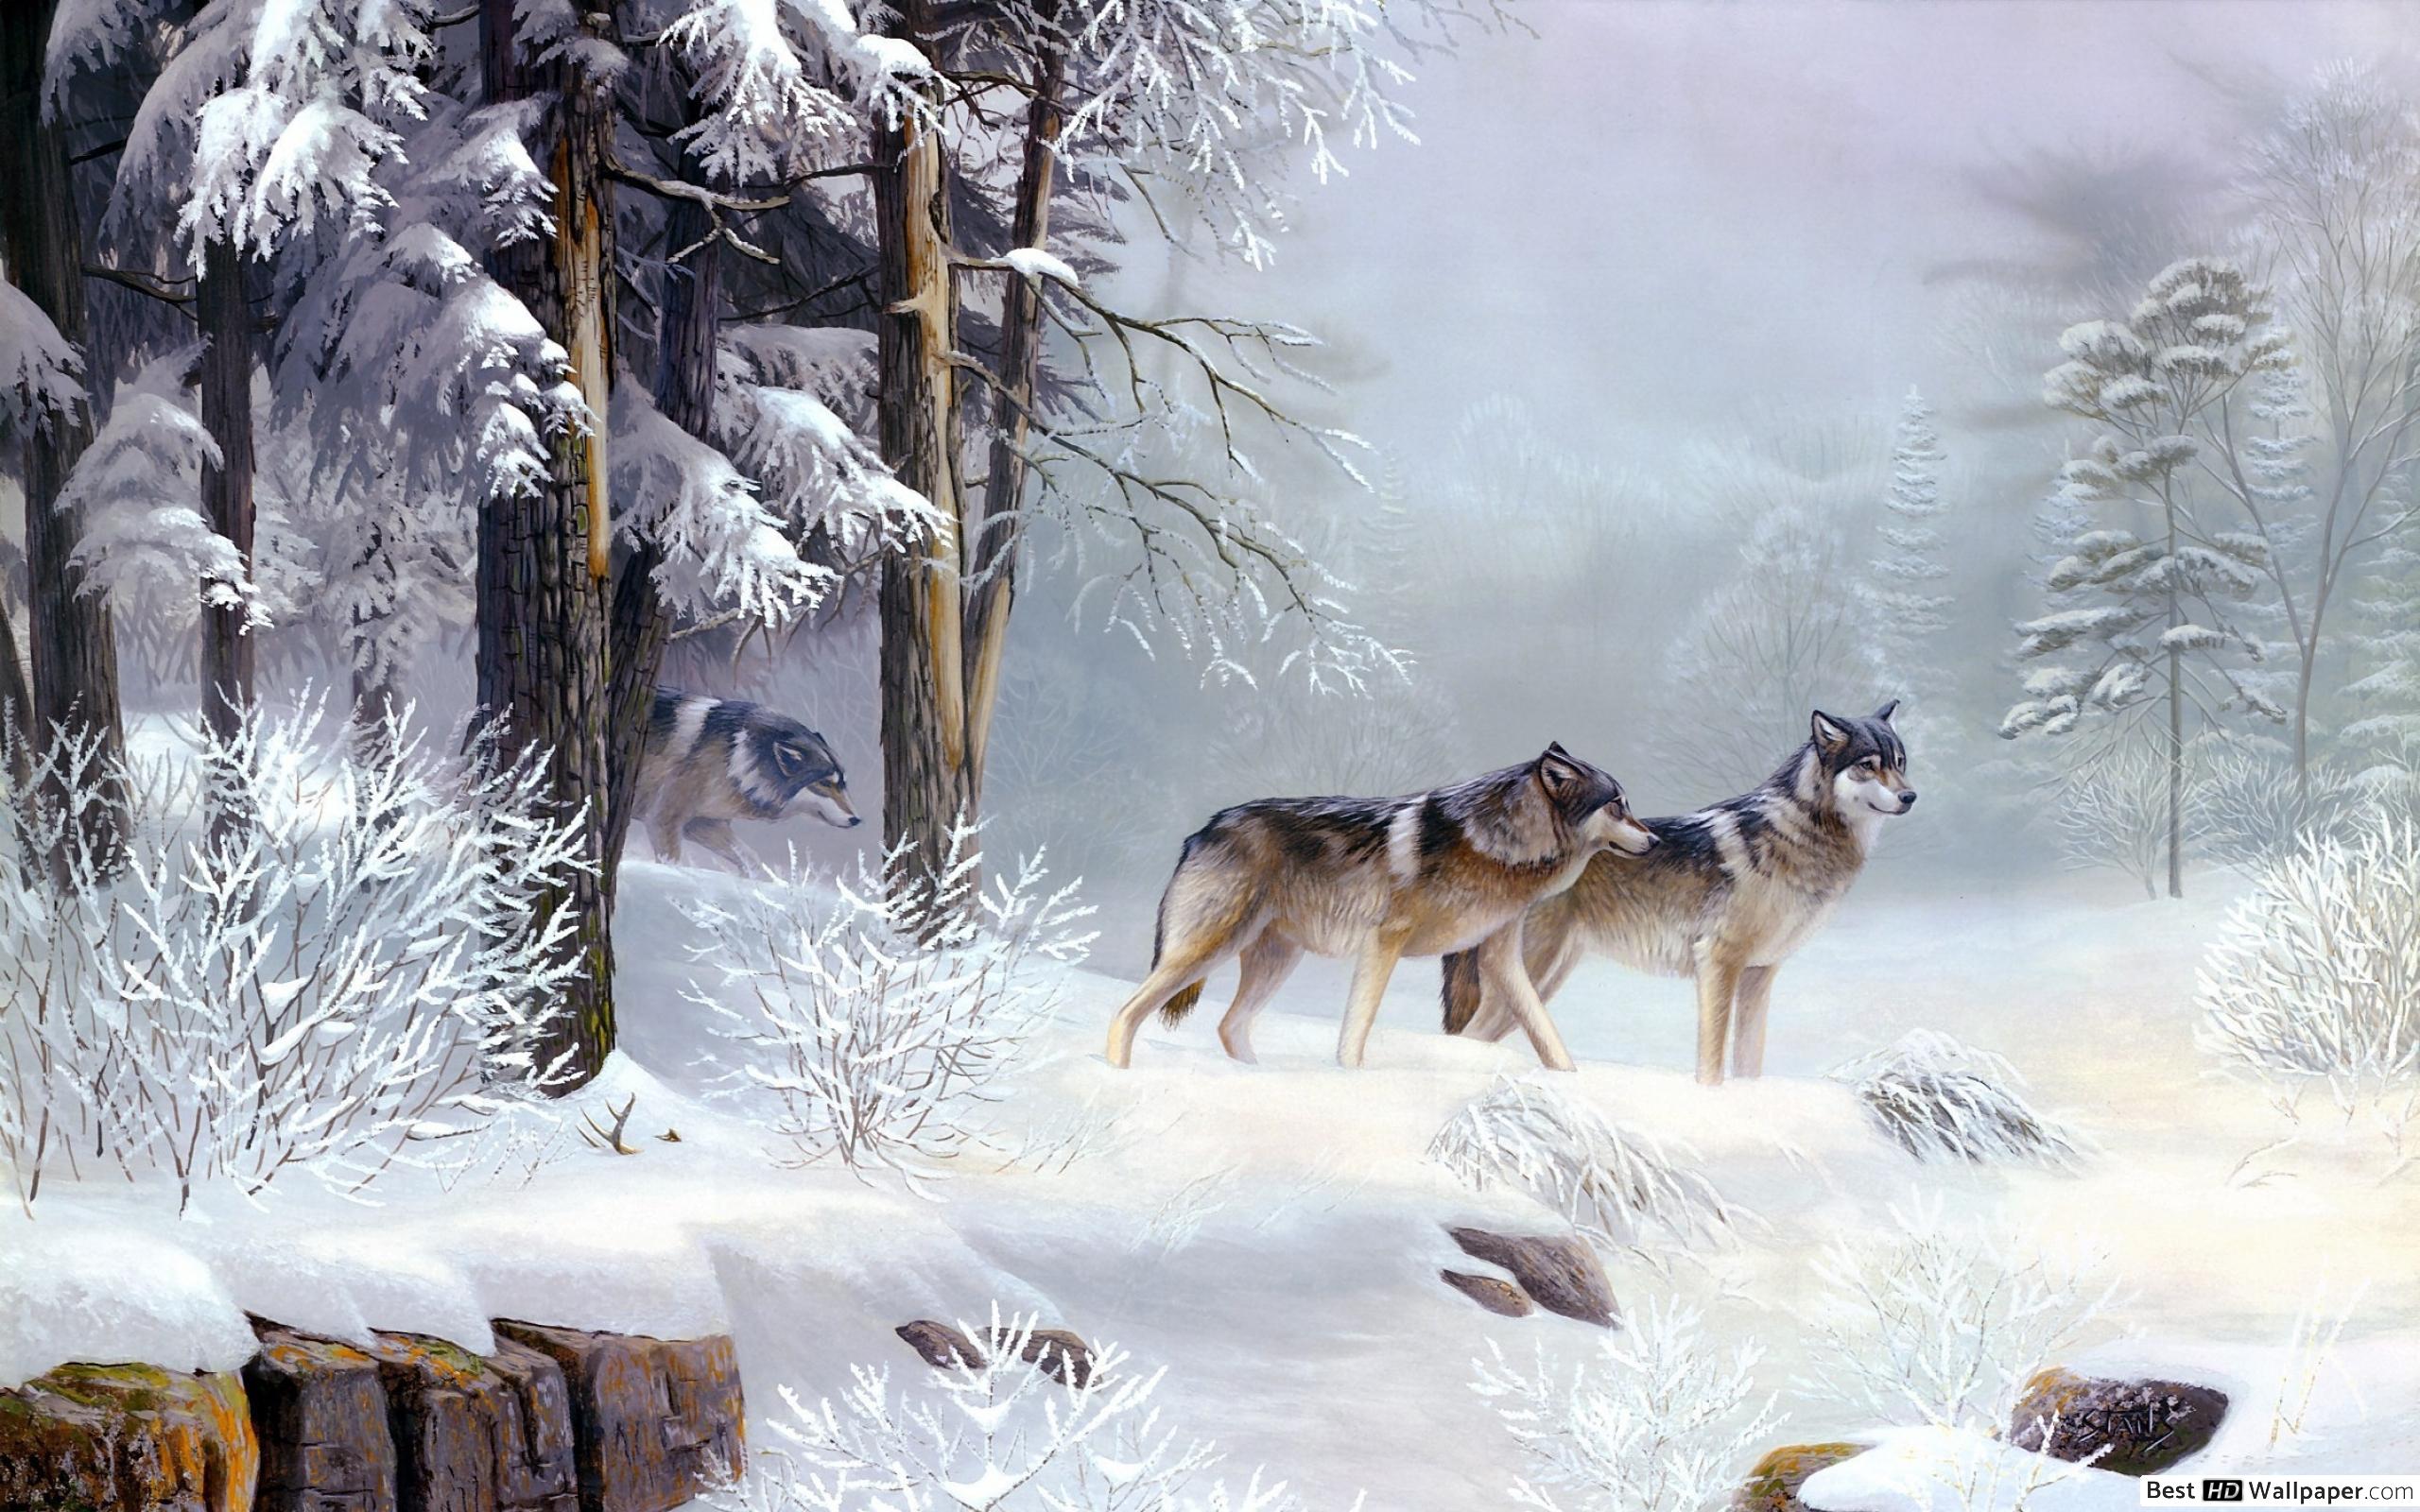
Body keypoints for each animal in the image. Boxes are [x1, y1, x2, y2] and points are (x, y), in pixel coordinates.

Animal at [635, 688, 861, 867]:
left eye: (843, 784)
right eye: (824, 783)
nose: (856, 819)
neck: (734, 755)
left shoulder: (703, 823)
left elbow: (750, 858)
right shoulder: (663, 819)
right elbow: (671, 862)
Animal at [1103, 744, 1657, 1072]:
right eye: (1617, 805)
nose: (1654, 841)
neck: (1500, 846)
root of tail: (1202, 830)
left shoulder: (1500, 955)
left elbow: (1545, 1032)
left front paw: (1570, 1082)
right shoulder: (1383, 940)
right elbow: (1357, 1029)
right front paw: (1351, 1082)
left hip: (1272, 960)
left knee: (1228, 1025)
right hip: (1207, 949)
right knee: (1126, 1013)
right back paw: (1116, 1075)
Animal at [1442, 704, 1915, 1085]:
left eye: (1900, 762)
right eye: (1868, 765)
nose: (1911, 796)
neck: (1801, 836)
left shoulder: (1759, 973)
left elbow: (1749, 1062)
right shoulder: (1718, 962)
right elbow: (1712, 1066)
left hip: (1546, 977)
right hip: (1531, 976)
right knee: (1466, 1036)